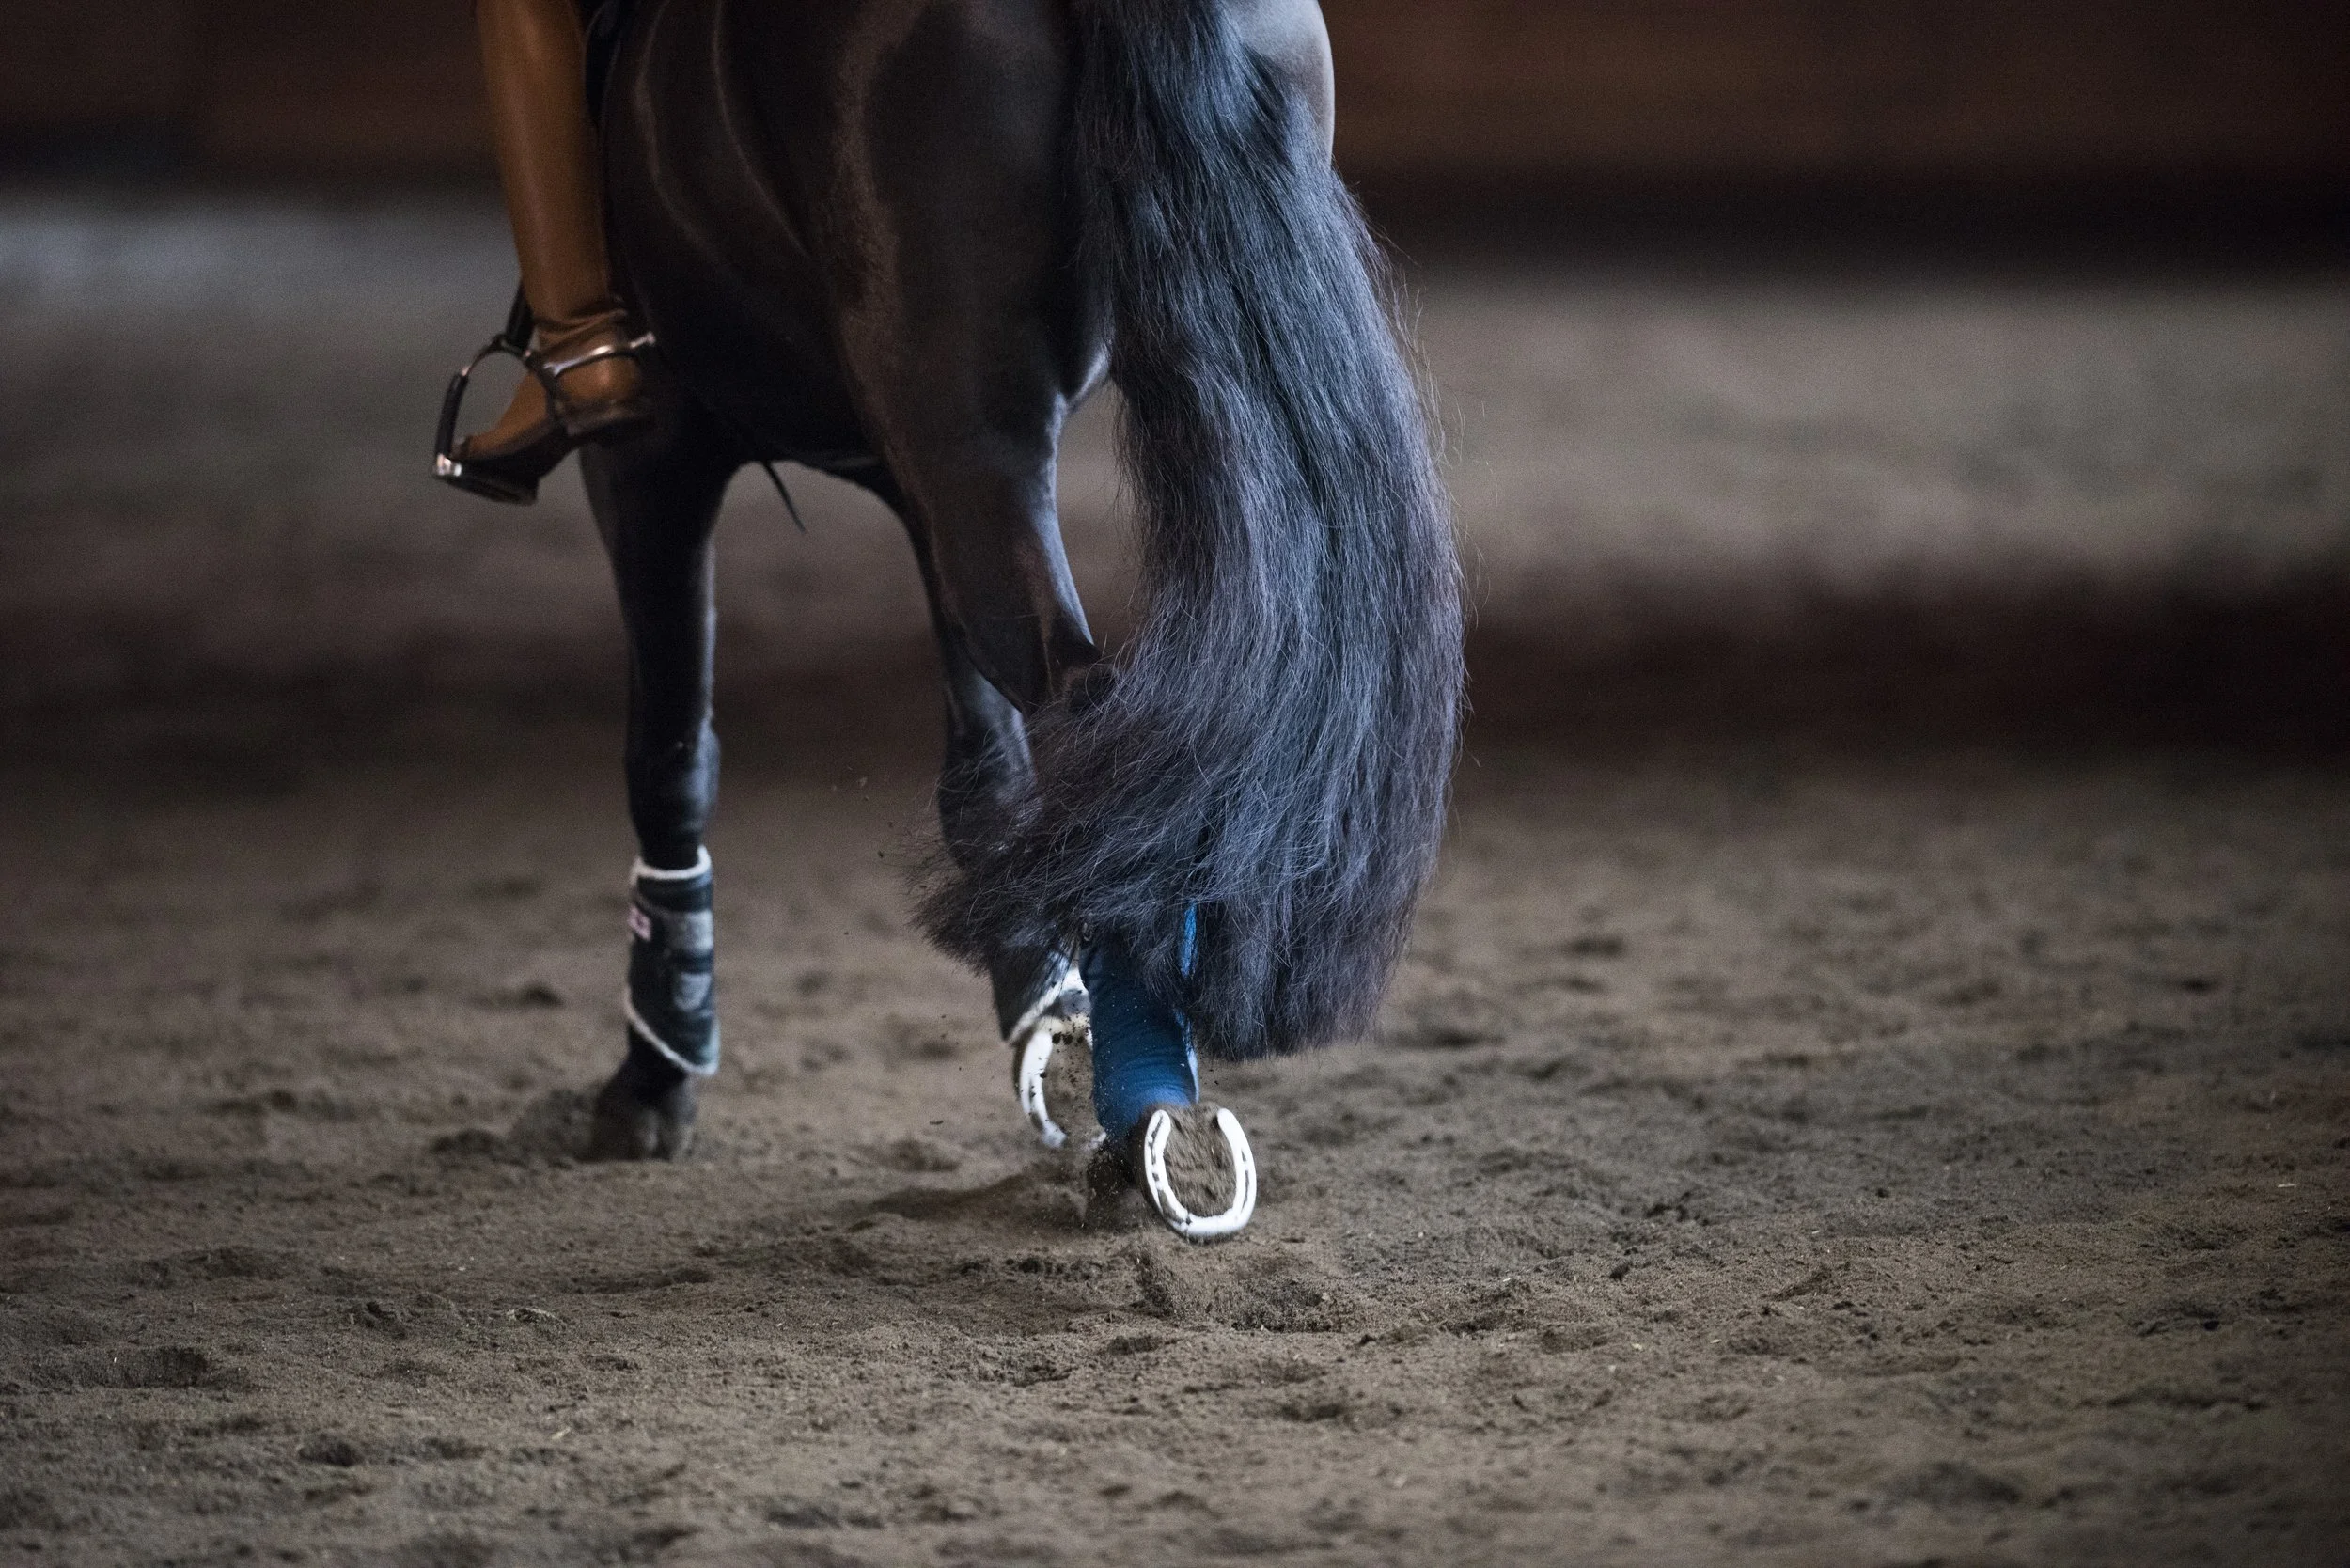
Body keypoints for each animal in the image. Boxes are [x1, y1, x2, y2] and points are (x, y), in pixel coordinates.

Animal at [450, 0, 1462, 1239]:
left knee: (1096, 711)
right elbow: (985, 764)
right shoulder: (919, 483)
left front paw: (656, 1073)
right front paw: (1038, 1003)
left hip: (947, 435)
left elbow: (671, 756)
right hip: (1002, 445)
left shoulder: (650, 458)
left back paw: (1143, 1117)